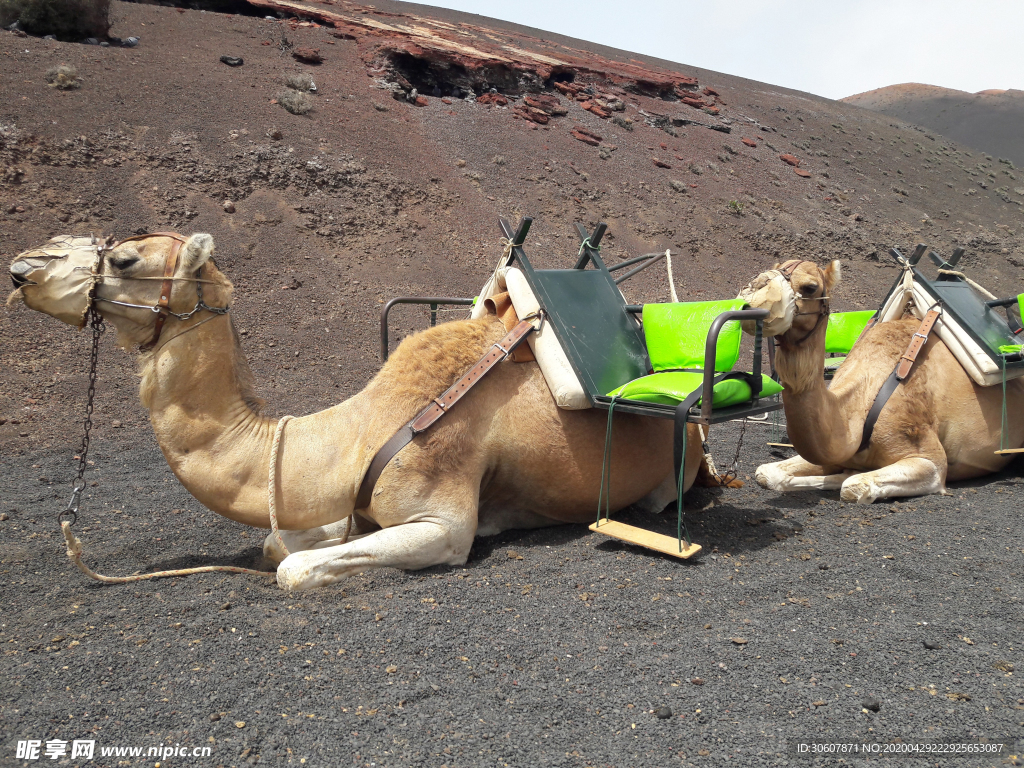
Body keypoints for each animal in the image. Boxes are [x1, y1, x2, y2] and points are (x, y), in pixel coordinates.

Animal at [8, 231, 704, 593]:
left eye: (125, 259)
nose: (22, 268)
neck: (358, 431)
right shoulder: (349, 502)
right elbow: (276, 541)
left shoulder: (440, 520)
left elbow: (292, 569)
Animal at [737, 262, 1024, 505]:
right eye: (766, 272)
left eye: (810, 287)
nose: (751, 303)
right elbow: (766, 473)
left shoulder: (930, 460)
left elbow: (852, 486)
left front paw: (846, 477)